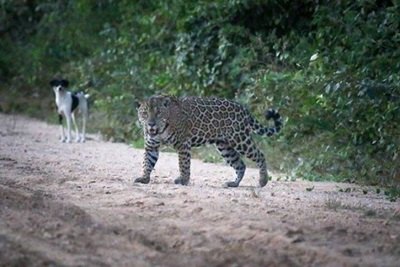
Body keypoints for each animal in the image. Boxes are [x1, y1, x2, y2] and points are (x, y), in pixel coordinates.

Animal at [136, 95, 282, 187]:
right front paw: (144, 178)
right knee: (240, 164)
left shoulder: (183, 144)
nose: (151, 124)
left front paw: (183, 180)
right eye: (144, 113)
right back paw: (233, 183)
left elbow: (183, 164)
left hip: (240, 139)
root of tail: (243, 108)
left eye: (159, 113)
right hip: (225, 146)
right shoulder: (151, 146)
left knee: (260, 155)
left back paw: (263, 180)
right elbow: (147, 162)